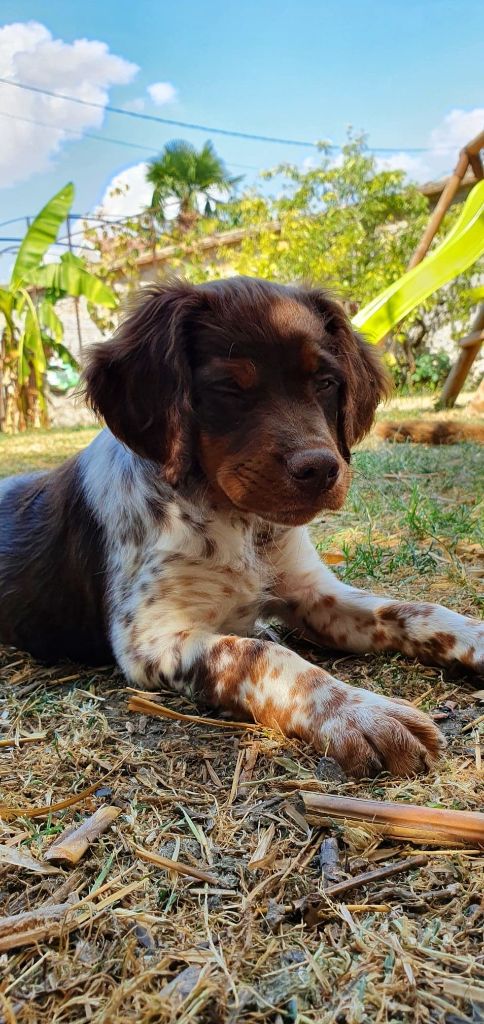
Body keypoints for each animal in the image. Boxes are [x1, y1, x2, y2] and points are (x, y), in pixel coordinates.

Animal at [1, 280, 480, 774]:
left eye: (326, 383)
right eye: (229, 386)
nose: (321, 470)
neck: (238, 524)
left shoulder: (314, 592)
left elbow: (410, 609)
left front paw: (475, 636)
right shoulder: (148, 638)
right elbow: (259, 654)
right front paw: (362, 713)